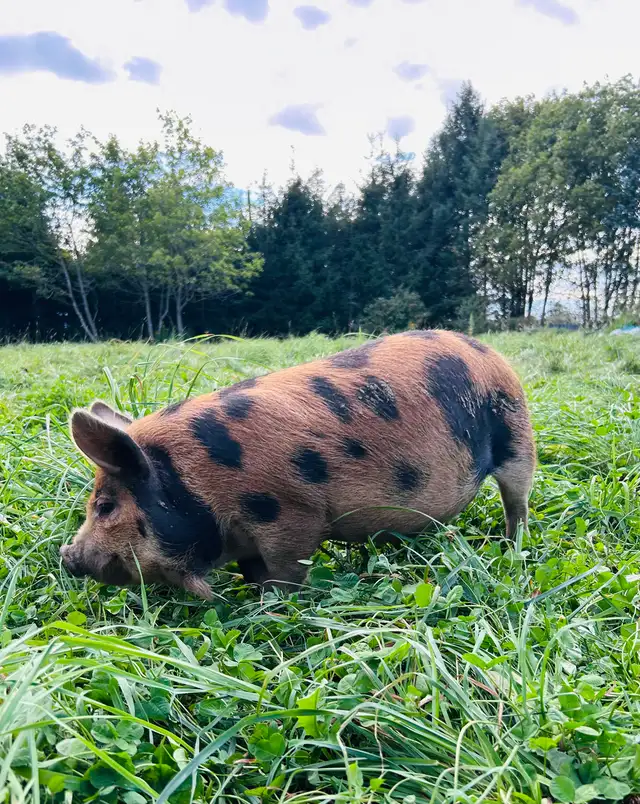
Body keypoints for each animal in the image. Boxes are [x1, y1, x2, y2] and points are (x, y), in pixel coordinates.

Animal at [60, 330, 535, 599]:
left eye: (105, 506)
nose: (66, 555)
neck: (195, 484)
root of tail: (491, 353)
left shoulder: (292, 513)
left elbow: (287, 570)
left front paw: (270, 605)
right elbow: (252, 569)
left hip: (518, 438)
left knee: (518, 502)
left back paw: (510, 548)